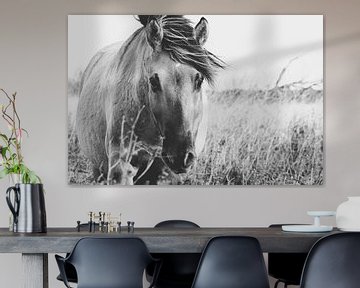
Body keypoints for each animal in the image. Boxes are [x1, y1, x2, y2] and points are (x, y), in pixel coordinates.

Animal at [75, 15, 224, 184]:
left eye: (199, 80)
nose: (181, 157)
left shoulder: (166, 174)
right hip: (98, 170)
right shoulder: (121, 168)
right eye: (153, 81)